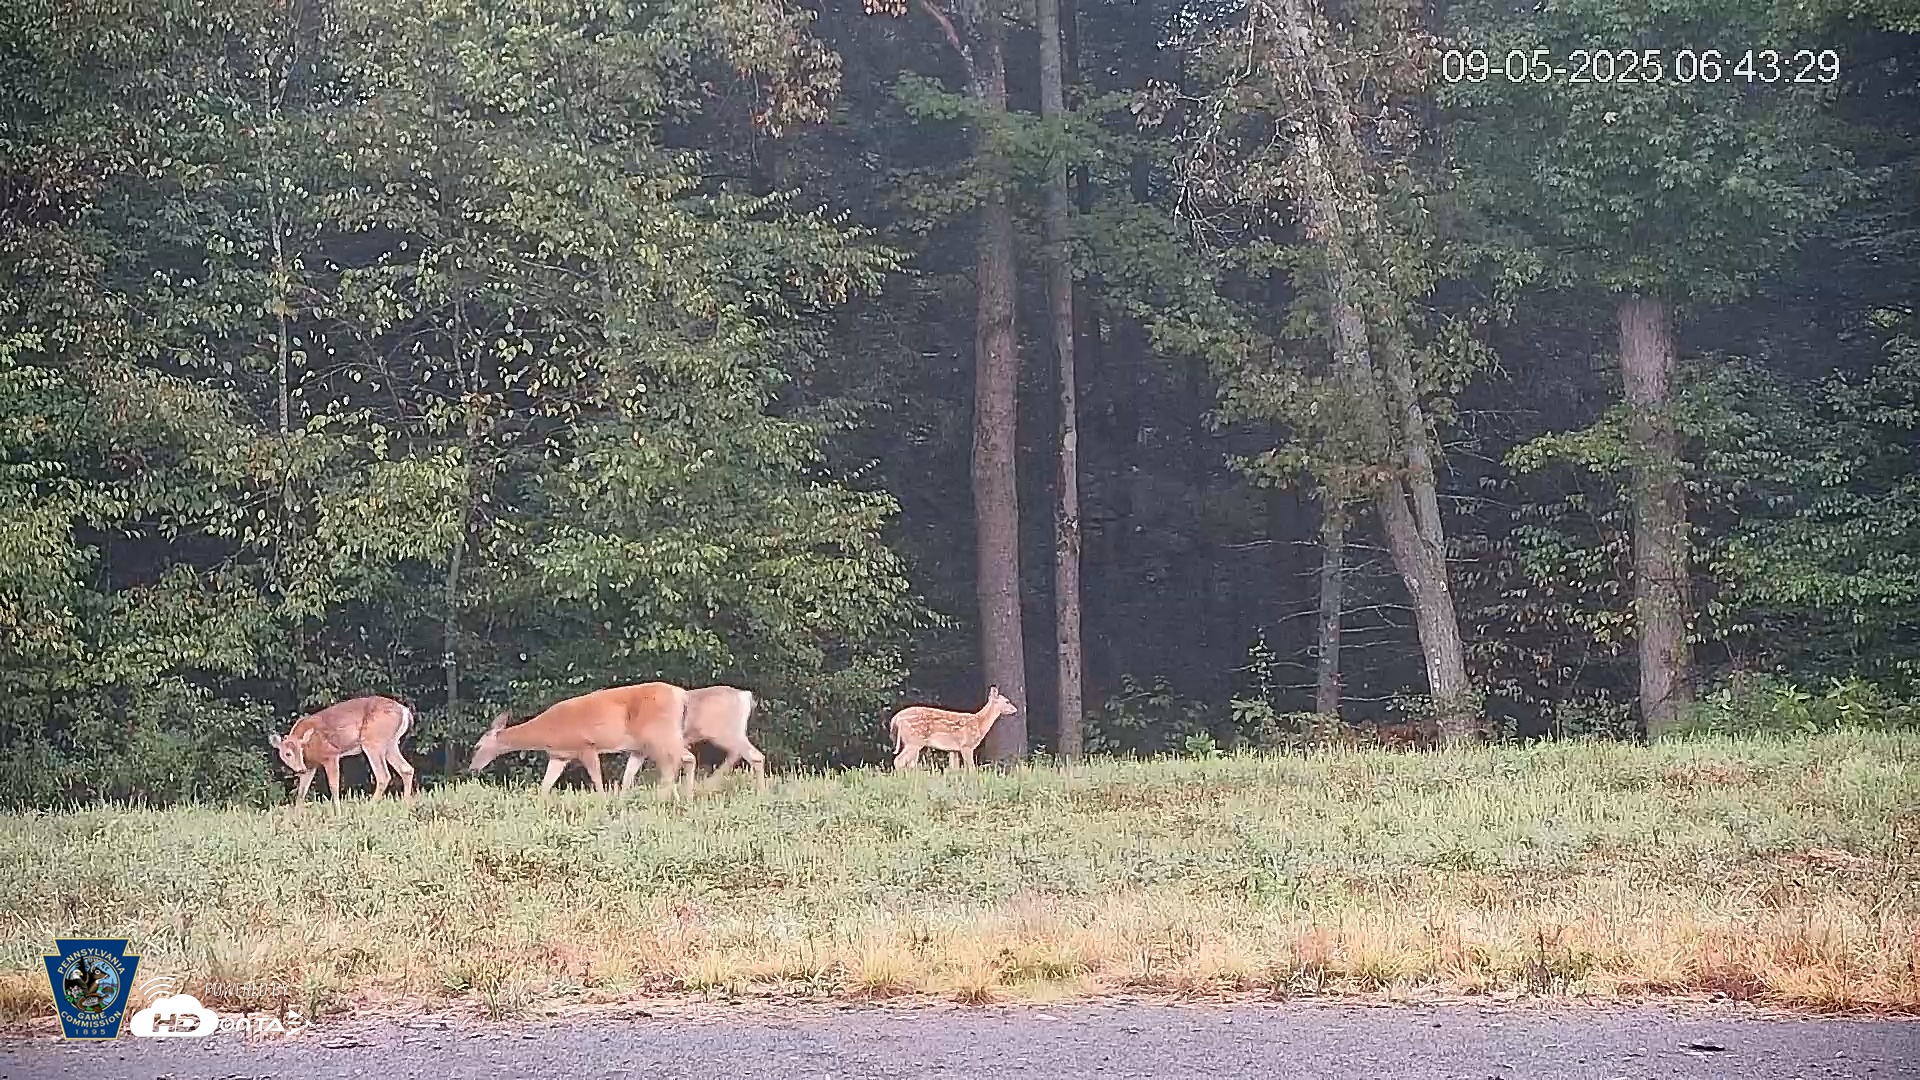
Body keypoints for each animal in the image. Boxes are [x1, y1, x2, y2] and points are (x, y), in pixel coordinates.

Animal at [269, 695, 417, 811]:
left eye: (300, 750)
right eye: (287, 753)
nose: (300, 769)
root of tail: (405, 711)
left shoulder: (331, 755)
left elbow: (334, 786)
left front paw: (338, 812)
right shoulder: (311, 766)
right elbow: (301, 792)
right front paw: (296, 816)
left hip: (373, 741)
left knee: (383, 775)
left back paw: (368, 807)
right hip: (391, 743)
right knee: (406, 769)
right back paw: (406, 804)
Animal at [469, 681, 694, 799]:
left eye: (477, 746)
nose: (472, 769)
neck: (547, 731)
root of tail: (681, 695)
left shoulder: (586, 745)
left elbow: (597, 780)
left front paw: (603, 802)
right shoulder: (559, 756)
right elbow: (545, 786)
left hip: (659, 734)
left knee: (677, 762)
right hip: (646, 744)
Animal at [888, 685, 1019, 771]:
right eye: (1007, 701)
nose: (1015, 709)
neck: (979, 724)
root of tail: (895, 718)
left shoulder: (953, 750)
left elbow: (954, 768)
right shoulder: (966, 745)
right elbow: (971, 767)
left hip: (911, 742)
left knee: (909, 763)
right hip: (914, 741)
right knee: (899, 761)